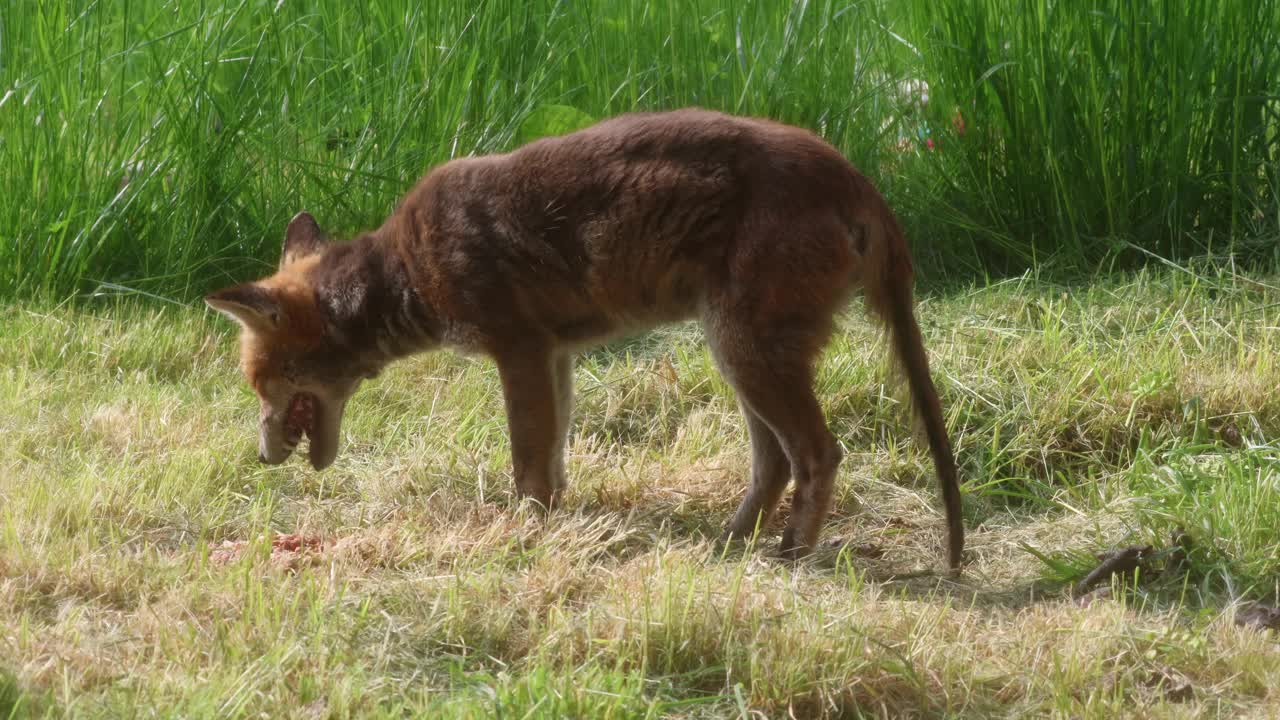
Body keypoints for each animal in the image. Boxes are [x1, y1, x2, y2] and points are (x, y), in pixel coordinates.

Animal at [204, 106, 962, 566]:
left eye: (260, 384)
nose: (262, 458)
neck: (406, 272)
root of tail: (852, 174)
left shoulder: (519, 351)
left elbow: (527, 464)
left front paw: (523, 535)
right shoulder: (557, 354)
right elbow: (556, 459)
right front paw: (553, 527)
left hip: (746, 352)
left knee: (818, 454)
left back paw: (793, 553)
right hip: (741, 357)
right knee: (773, 463)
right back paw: (731, 543)